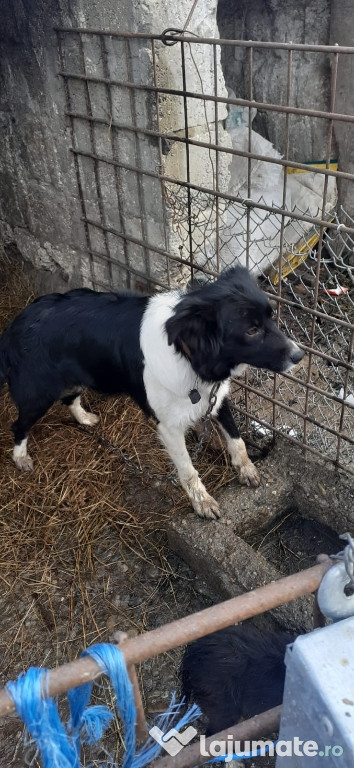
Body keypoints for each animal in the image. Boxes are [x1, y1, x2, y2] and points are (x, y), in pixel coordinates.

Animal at [0, 268, 304, 520]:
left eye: (271, 318)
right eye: (251, 330)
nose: (299, 355)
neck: (189, 356)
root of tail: (14, 326)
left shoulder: (216, 398)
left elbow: (236, 438)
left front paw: (246, 469)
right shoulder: (169, 427)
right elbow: (188, 470)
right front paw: (202, 502)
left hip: (78, 376)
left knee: (70, 399)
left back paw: (84, 418)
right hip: (38, 394)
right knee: (19, 425)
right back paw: (21, 458)